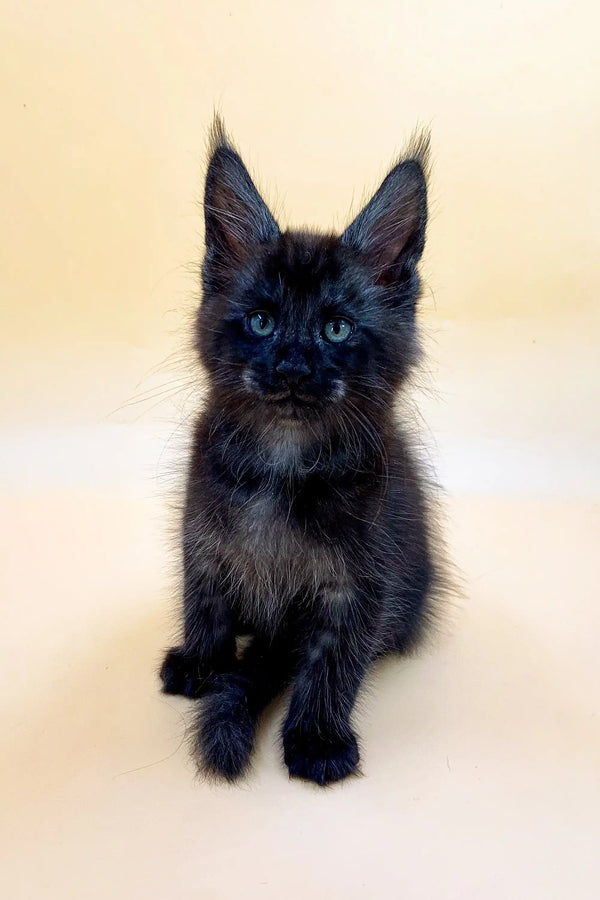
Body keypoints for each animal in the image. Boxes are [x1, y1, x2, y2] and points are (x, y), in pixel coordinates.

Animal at [162, 116, 438, 784]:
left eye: (335, 328)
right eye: (262, 321)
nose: (291, 364)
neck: (283, 464)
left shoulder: (361, 579)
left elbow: (331, 662)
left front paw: (316, 737)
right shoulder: (204, 532)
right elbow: (204, 600)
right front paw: (201, 664)